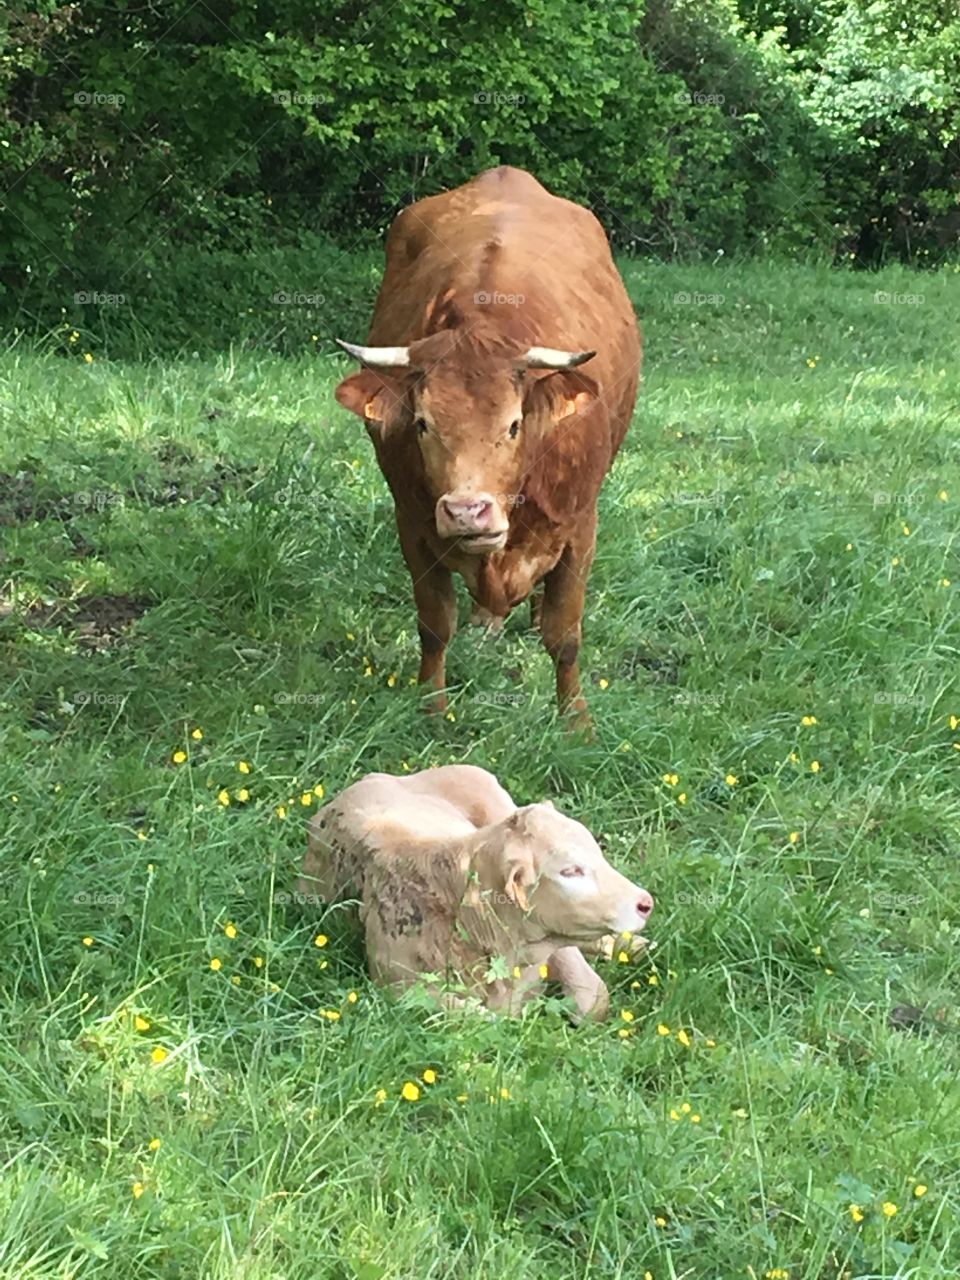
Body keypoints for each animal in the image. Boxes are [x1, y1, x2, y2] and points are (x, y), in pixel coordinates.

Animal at [334, 166, 642, 727]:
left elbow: (565, 635)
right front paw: (431, 710)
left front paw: (576, 723)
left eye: (515, 425)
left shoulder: (580, 526)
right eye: (422, 424)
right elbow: (434, 625)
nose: (465, 512)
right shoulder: (412, 525)